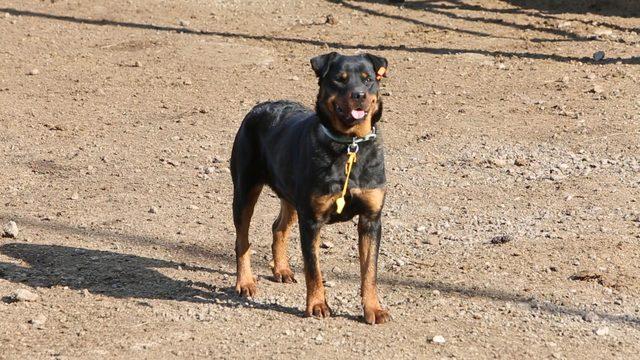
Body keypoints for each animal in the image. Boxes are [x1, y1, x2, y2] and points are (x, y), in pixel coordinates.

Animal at [230, 50, 390, 324]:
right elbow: (313, 269)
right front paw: (317, 305)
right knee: (243, 239)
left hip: (291, 196)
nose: (359, 95)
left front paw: (374, 308)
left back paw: (281, 269)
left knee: (278, 227)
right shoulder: (312, 219)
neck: (350, 146)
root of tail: (258, 108)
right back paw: (246, 282)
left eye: (368, 79)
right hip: (245, 189)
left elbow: (369, 271)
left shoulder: (371, 219)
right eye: (339, 79)